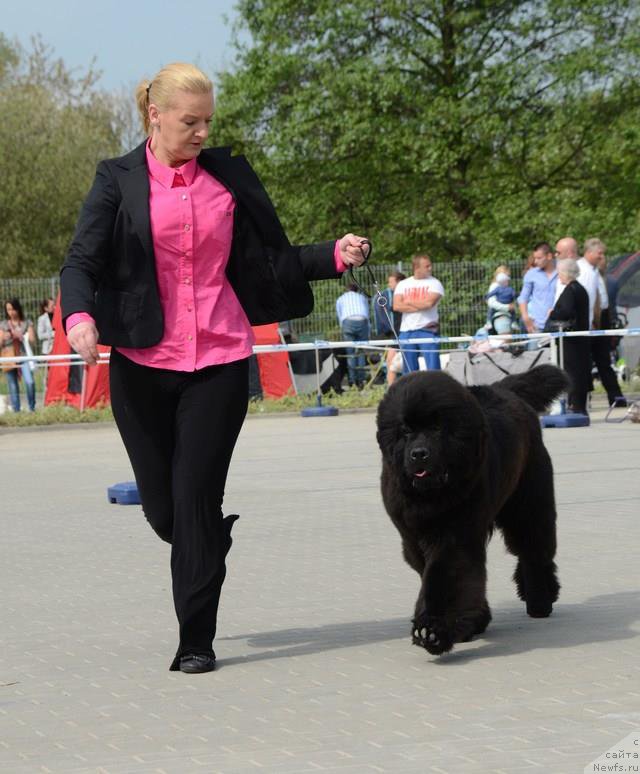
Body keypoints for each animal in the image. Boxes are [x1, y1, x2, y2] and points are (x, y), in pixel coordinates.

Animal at [378, 366, 568, 656]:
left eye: (437, 428)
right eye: (406, 431)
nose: (419, 454)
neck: (433, 494)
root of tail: (505, 389)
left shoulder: (455, 536)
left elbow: (446, 576)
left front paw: (433, 630)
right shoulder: (412, 536)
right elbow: (439, 575)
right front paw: (474, 621)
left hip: (529, 503)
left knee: (533, 550)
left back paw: (540, 601)